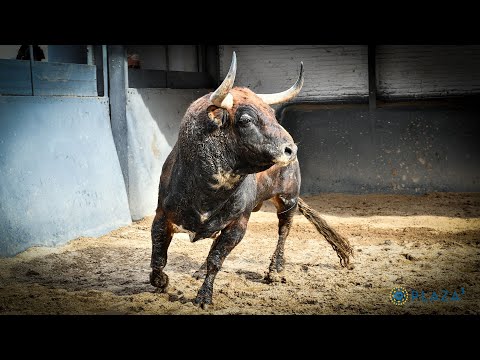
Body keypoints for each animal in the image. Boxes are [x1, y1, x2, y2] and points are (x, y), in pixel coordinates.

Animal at [150, 53, 352, 310]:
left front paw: (204, 297)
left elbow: (216, 259)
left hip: (288, 199)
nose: (290, 149)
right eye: (246, 120)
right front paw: (162, 281)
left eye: (272, 115)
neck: (206, 193)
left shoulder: (238, 225)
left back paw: (275, 269)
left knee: (284, 230)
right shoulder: (161, 216)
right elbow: (158, 258)